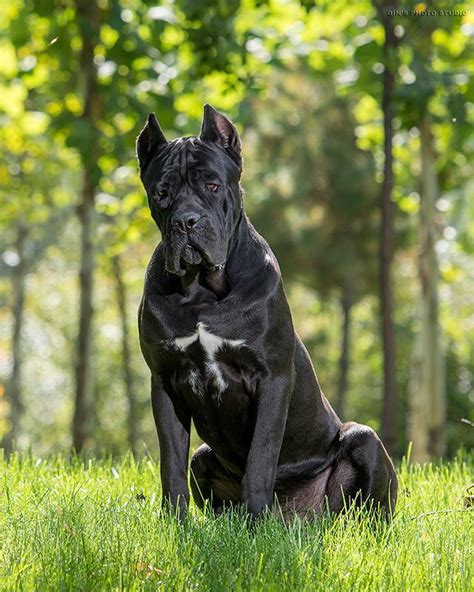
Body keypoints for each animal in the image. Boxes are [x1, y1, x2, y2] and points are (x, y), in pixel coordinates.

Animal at [136, 104, 396, 520]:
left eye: (212, 186)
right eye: (162, 193)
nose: (186, 221)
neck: (202, 291)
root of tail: (300, 518)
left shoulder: (272, 377)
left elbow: (261, 457)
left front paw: (257, 521)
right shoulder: (164, 381)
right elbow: (170, 462)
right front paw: (175, 521)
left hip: (363, 438)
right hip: (202, 456)